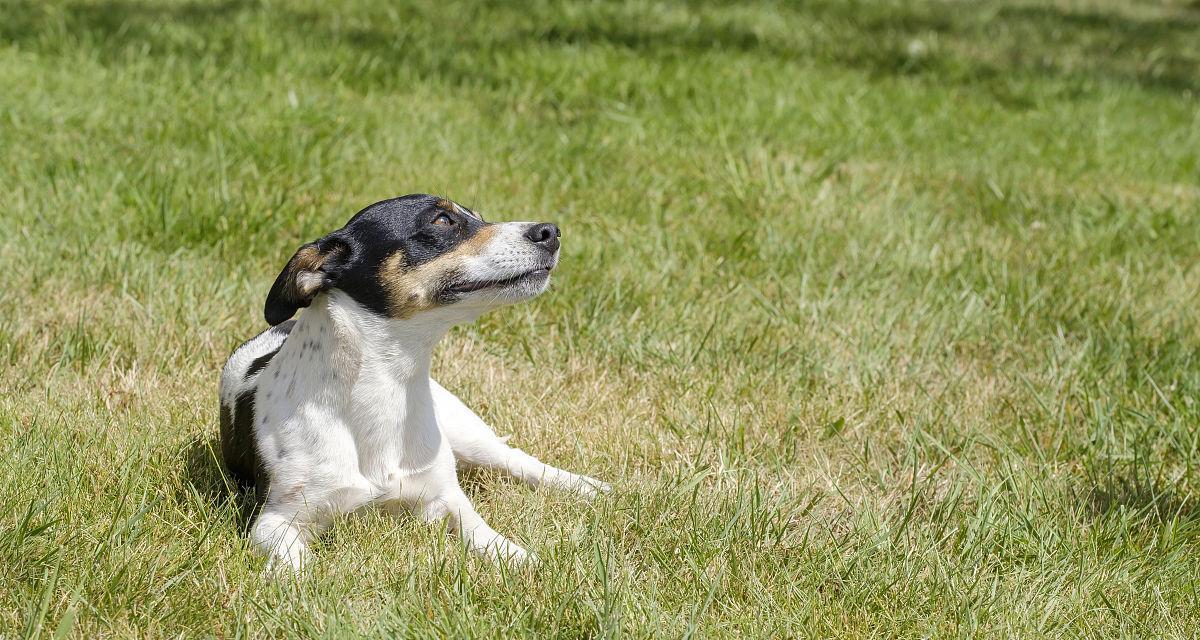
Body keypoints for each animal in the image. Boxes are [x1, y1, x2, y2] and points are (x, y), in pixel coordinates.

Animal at [218, 194, 609, 569]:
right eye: (443, 220)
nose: (551, 231)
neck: (388, 389)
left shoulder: (446, 497)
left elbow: (488, 537)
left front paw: (524, 562)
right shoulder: (275, 520)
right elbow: (296, 564)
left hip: (467, 432)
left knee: (517, 461)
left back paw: (590, 487)